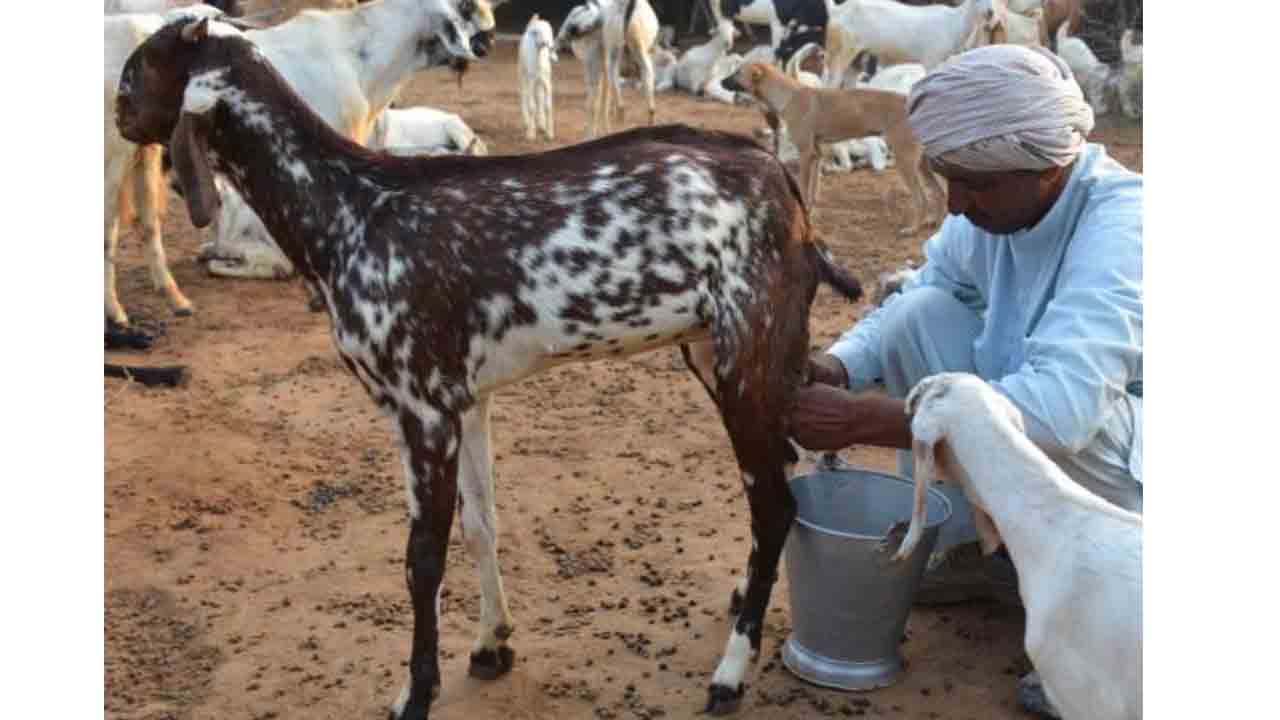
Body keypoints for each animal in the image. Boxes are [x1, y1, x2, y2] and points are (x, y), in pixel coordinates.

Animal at [822, 0, 1007, 88]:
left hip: (858, 53)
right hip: (841, 47)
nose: (990, 13)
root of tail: (836, 10)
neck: (954, 23)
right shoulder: (931, 58)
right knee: (831, 79)